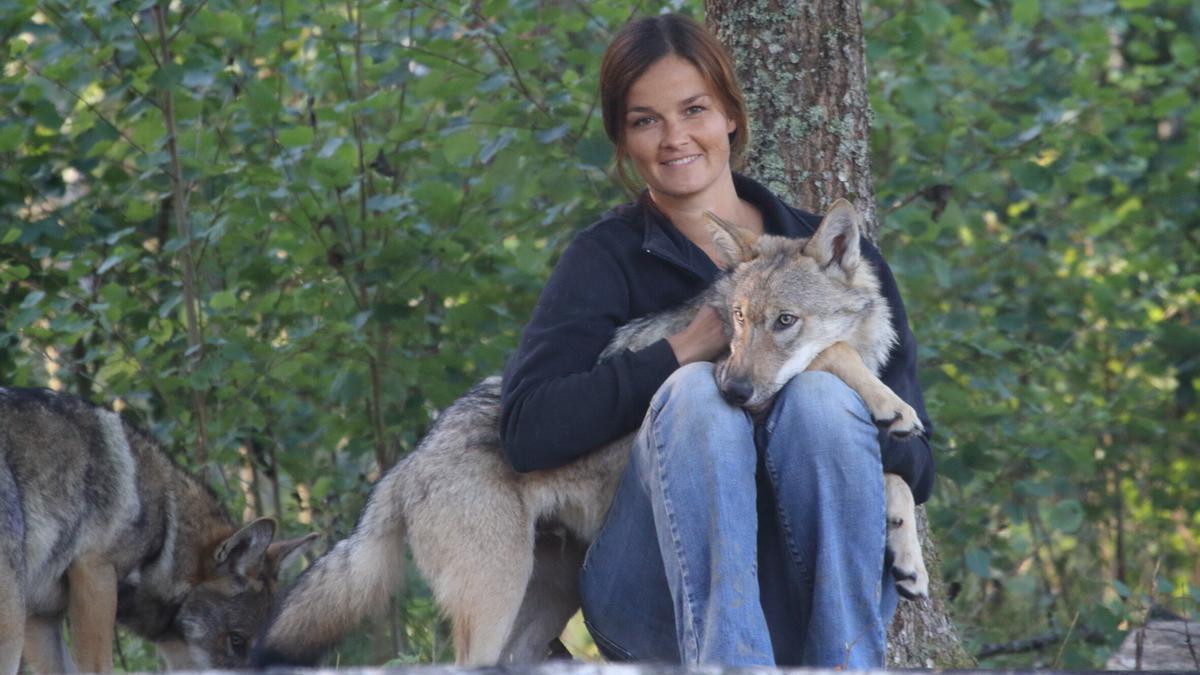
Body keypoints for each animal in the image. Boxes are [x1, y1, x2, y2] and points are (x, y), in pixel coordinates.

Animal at [250, 198, 926, 662]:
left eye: (785, 320)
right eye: (737, 319)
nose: (732, 392)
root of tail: (406, 465)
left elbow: (896, 476)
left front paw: (906, 549)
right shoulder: (732, 372)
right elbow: (830, 358)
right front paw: (891, 404)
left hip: (538, 609)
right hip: (494, 599)